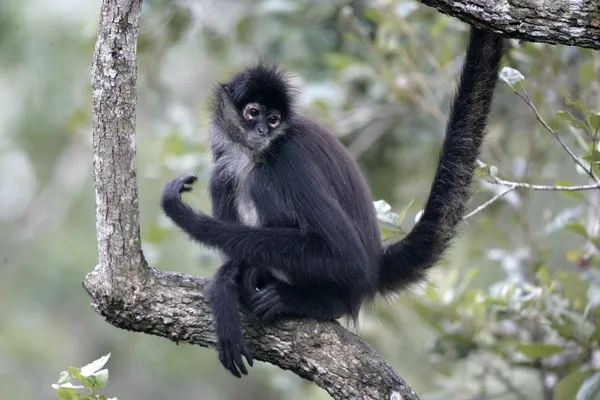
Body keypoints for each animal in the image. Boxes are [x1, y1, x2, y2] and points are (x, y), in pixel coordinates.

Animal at [162, 25, 508, 378]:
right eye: (253, 112)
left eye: (274, 119)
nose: (261, 131)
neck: (251, 155)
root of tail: (376, 265)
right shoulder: (223, 159)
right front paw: (224, 286)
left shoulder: (289, 157)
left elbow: (345, 255)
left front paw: (191, 220)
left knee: (264, 184)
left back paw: (313, 300)